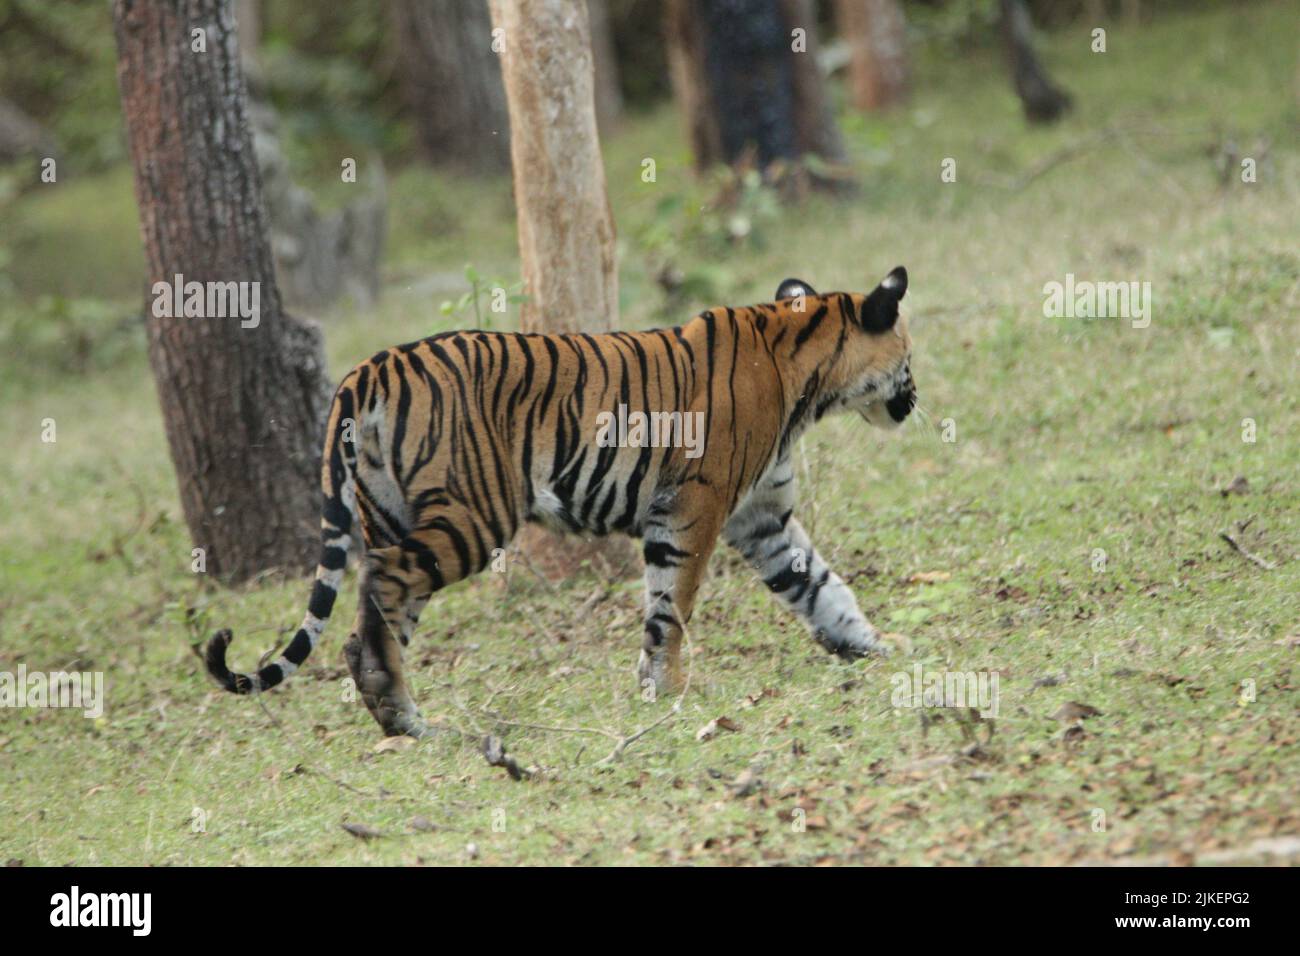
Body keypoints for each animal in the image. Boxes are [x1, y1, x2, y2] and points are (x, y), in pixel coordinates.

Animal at [202, 265, 915, 738]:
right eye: (910, 356)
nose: (913, 401)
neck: (806, 375)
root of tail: (369, 367)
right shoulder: (697, 505)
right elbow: (673, 604)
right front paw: (668, 688)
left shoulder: (761, 517)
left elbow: (819, 586)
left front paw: (877, 647)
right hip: (475, 515)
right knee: (385, 580)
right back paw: (402, 714)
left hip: (388, 511)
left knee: (372, 614)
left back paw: (391, 709)